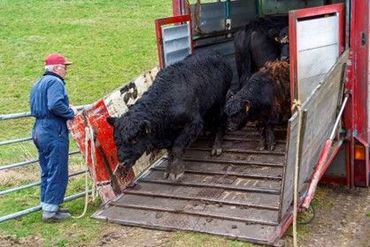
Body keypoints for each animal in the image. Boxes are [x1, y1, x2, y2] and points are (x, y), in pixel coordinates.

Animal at [106, 50, 231, 181]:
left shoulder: (193, 122)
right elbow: (170, 152)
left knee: (222, 119)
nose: (123, 162)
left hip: (219, 102)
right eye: (116, 140)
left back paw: (217, 147)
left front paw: (176, 171)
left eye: (135, 140)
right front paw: (168, 170)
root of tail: (217, 54)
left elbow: (177, 148)